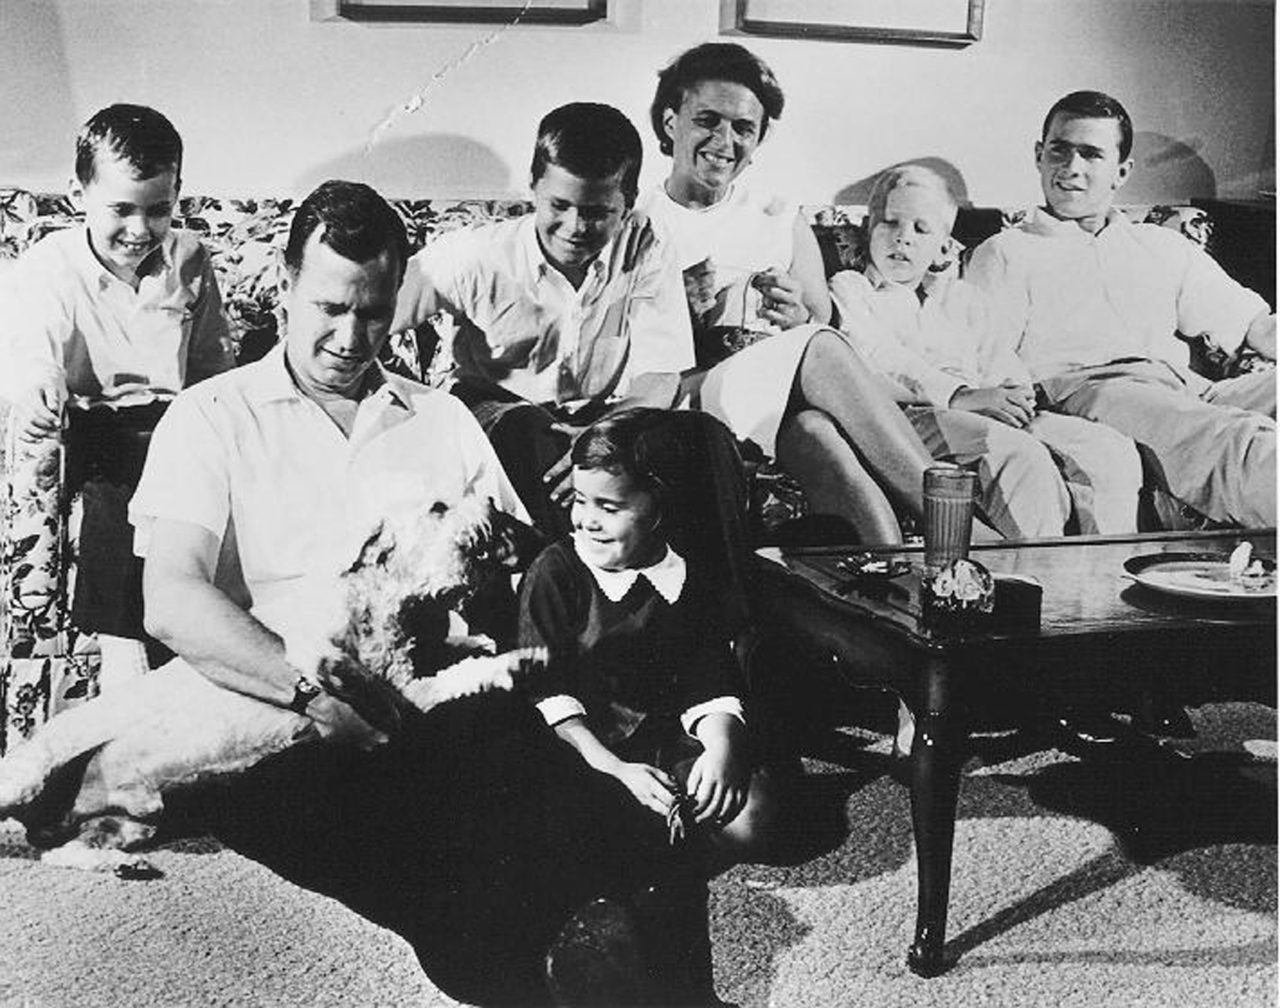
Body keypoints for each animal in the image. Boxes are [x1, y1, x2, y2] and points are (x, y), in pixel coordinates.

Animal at [0, 496, 545, 874]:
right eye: (438, 506)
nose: (495, 505)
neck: (376, 599)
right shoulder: (396, 689)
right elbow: (428, 676)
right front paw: (517, 660)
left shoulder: (406, 672)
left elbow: (451, 654)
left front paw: (479, 640)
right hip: (30, 775)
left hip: (131, 820)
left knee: (64, 852)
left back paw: (121, 864)